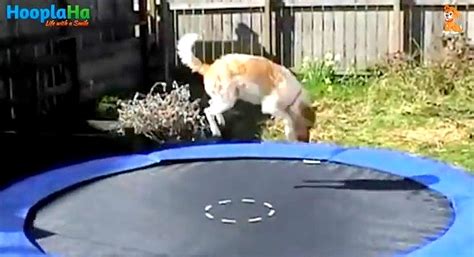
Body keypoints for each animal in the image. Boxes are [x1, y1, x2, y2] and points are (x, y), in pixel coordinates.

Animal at [177, 32, 314, 141]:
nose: (306, 139)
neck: (295, 95)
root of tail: (209, 67)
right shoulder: (270, 106)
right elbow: (288, 118)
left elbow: (288, 119)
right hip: (227, 100)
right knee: (208, 111)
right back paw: (216, 131)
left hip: (224, 98)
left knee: (211, 104)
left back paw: (220, 120)